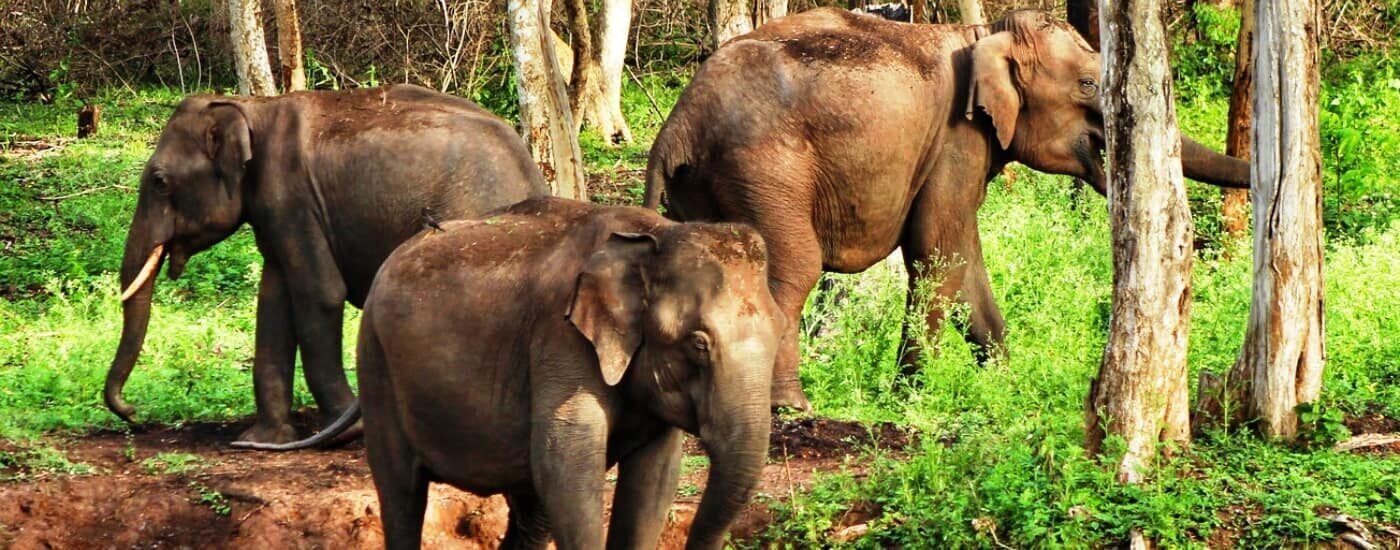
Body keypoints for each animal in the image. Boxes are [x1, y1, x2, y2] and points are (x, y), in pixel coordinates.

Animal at [102, 85, 546, 445]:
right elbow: (274, 302)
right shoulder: (275, 214)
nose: (135, 415)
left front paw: (344, 432)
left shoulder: (292, 196)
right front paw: (262, 439)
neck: (252, 107)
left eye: (159, 181)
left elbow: (320, 293)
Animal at [239, 197, 789, 548]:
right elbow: (566, 467)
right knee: (401, 495)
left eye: (782, 333)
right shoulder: (559, 340)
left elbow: (653, 482)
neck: (652, 235)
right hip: (376, 362)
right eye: (698, 344)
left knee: (529, 509)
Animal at [641, 7, 1254, 405]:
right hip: (764, 170)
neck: (982, 35)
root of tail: (676, 126)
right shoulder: (956, 140)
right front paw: (911, 394)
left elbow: (964, 260)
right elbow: (938, 251)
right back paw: (789, 407)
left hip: (706, 187)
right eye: (1087, 83)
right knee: (791, 269)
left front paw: (1004, 381)